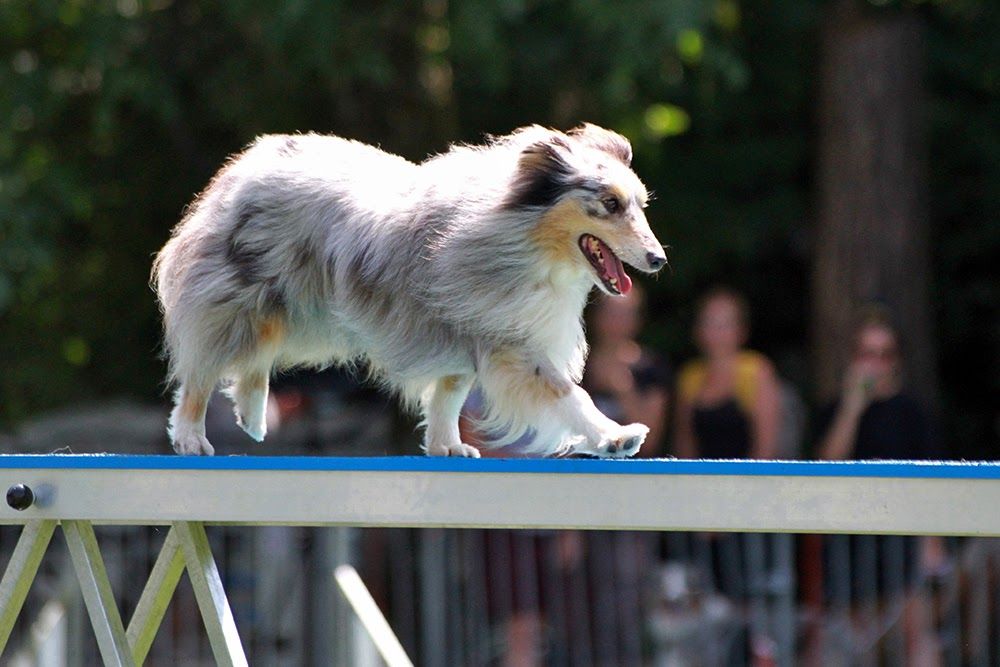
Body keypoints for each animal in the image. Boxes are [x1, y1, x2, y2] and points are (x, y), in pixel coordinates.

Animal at [150, 124, 664, 460]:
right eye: (610, 204)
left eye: (640, 206)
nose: (658, 259)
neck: (525, 237)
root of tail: (246, 164)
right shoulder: (511, 343)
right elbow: (569, 394)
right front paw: (615, 436)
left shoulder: (463, 332)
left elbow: (449, 396)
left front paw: (446, 446)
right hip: (240, 301)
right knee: (202, 371)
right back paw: (192, 437)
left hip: (302, 315)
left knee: (255, 360)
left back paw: (253, 418)